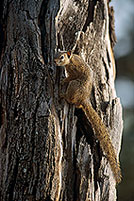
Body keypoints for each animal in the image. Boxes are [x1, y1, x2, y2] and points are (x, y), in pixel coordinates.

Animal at [54, 50, 121, 184]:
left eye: (62, 57)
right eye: (56, 54)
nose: (54, 61)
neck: (71, 59)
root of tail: (83, 99)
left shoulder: (74, 71)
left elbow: (70, 77)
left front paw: (63, 80)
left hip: (74, 86)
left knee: (70, 99)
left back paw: (63, 95)